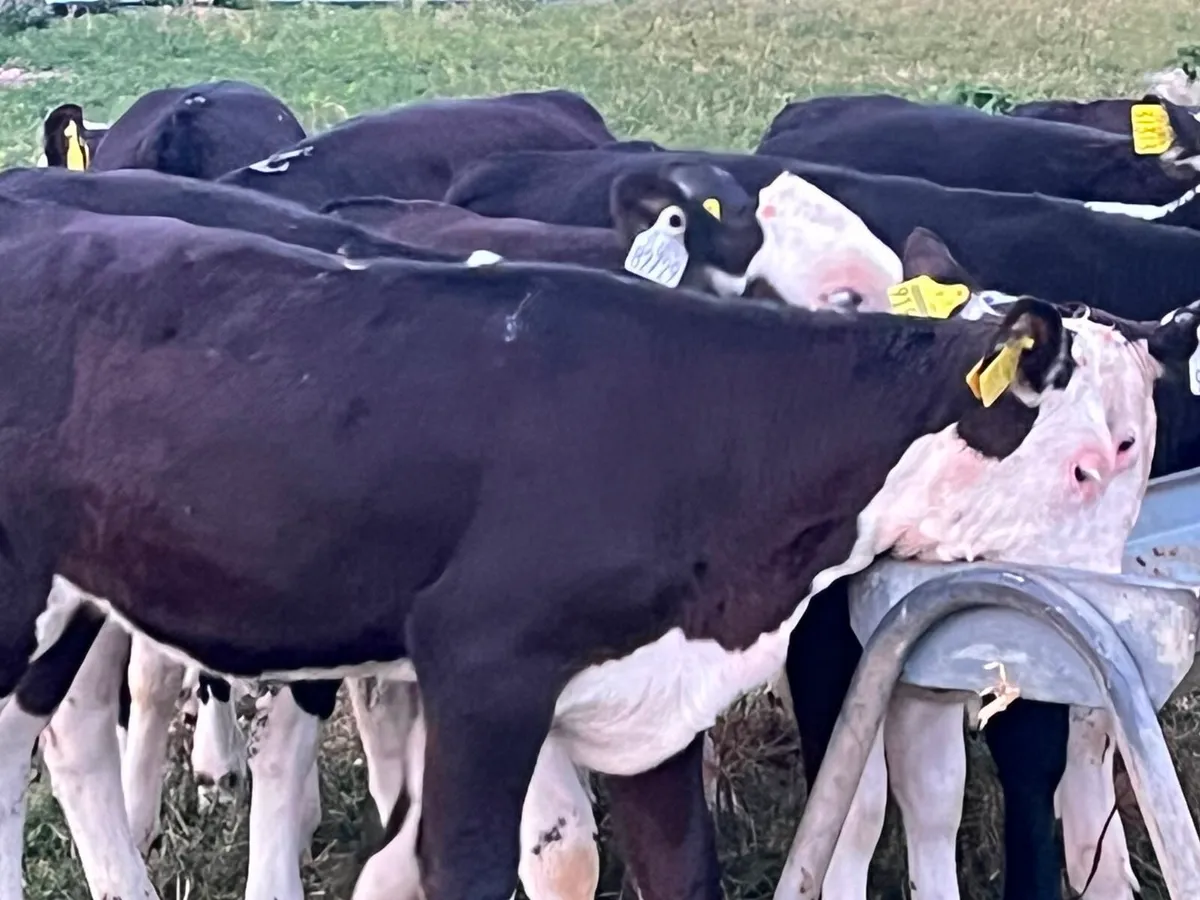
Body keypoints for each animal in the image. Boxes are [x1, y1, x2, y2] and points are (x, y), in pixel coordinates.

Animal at [0, 191, 1186, 900]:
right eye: (1095, 460)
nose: (1109, 648)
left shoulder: (653, 700)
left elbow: (678, 868)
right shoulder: (482, 670)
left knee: (45, 746)